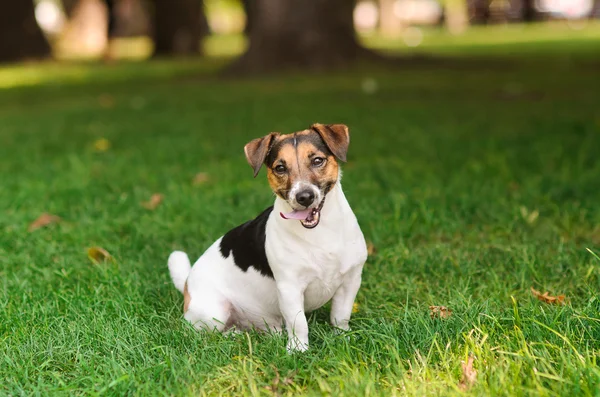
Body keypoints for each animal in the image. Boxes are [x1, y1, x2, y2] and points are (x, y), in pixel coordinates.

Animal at [166, 123, 368, 350]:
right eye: (280, 168)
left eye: (317, 160)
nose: (305, 197)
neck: (320, 231)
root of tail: (186, 283)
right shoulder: (289, 288)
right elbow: (298, 323)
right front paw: (298, 350)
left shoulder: (351, 281)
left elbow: (340, 316)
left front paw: (342, 337)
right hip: (213, 311)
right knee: (203, 334)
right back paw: (234, 334)